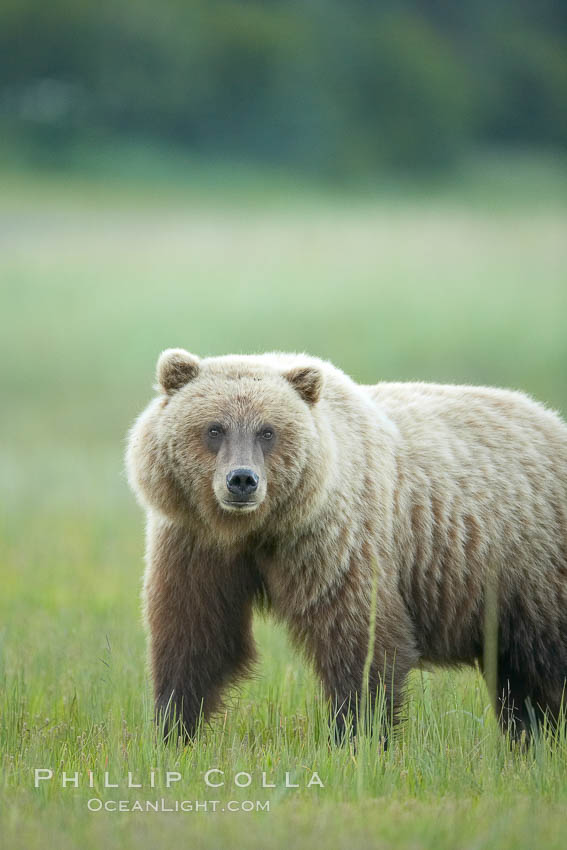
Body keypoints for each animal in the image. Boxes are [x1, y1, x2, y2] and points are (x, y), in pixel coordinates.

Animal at [127, 348, 567, 740]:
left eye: (268, 431)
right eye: (214, 428)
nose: (242, 480)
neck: (255, 529)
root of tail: (552, 419)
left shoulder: (335, 541)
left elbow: (359, 638)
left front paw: (358, 736)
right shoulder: (196, 543)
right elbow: (194, 633)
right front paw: (173, 728)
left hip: (530, 567)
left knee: (543, 666)